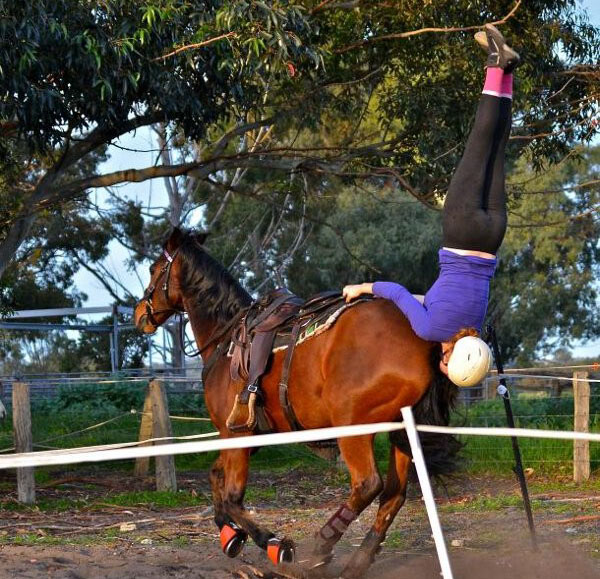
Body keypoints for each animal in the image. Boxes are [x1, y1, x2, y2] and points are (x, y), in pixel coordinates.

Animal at [134, 229, 458, 579]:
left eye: (153, 269)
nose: (139, 314)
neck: (227, 338)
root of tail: (421, 338)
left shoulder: (236, 434)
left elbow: (232, 497)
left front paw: (274, 544)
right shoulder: (244, 438)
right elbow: (215, 477)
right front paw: (229, 534)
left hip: (353, 428)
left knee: (368, 485)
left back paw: (321, 546)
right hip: (399, 432)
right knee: (393, 495)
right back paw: (357, 561)